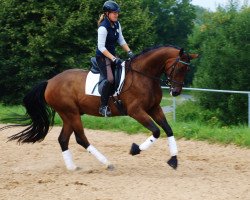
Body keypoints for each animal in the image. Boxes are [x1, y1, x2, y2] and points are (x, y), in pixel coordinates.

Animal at [0, 45, 198, 170]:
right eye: (179, 68)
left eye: (186, 70)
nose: (175, 92)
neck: (144, 75)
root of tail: (49, 81)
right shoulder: (136, 111)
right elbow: (156, 131)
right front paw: (135, 149)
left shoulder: (154, 108)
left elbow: (168, 129)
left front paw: (173, 160)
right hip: (71, 113)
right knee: (81, 139)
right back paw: (106, 163)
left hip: (69, 115)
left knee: (63, 139)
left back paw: (72, 167)